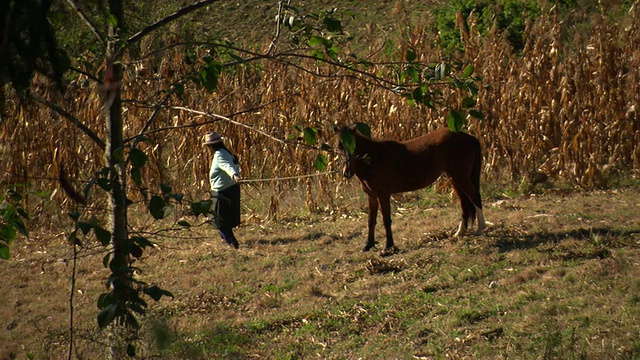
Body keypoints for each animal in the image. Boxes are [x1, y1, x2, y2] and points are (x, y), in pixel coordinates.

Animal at [338, 125, 488, 255]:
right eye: (339, 147)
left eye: (354, 145)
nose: (347, 172)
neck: (374, 158)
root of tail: (468, 137)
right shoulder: (372, 196)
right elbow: (371, 221)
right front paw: (368, 245)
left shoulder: (383, 195)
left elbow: (386, 220)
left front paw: (388, 247)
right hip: (454, 179)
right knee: (464, 203)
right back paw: (459, 233)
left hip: (460, 177)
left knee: (475, 196)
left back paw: (480, 228)